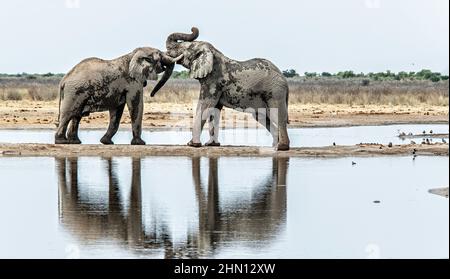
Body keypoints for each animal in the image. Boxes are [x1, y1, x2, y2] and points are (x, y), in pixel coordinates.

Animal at [153, 26, 290, 151]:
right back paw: (274, 145)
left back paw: (281, 147)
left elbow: (205, 106)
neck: (212, 53)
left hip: (275, 91)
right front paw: (211, 145)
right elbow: (214, 110)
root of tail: (284, 79)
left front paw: (193, 144)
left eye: (183, 48)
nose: (193, 28)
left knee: (277, 113)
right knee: (261, 116)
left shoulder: (213, 81)